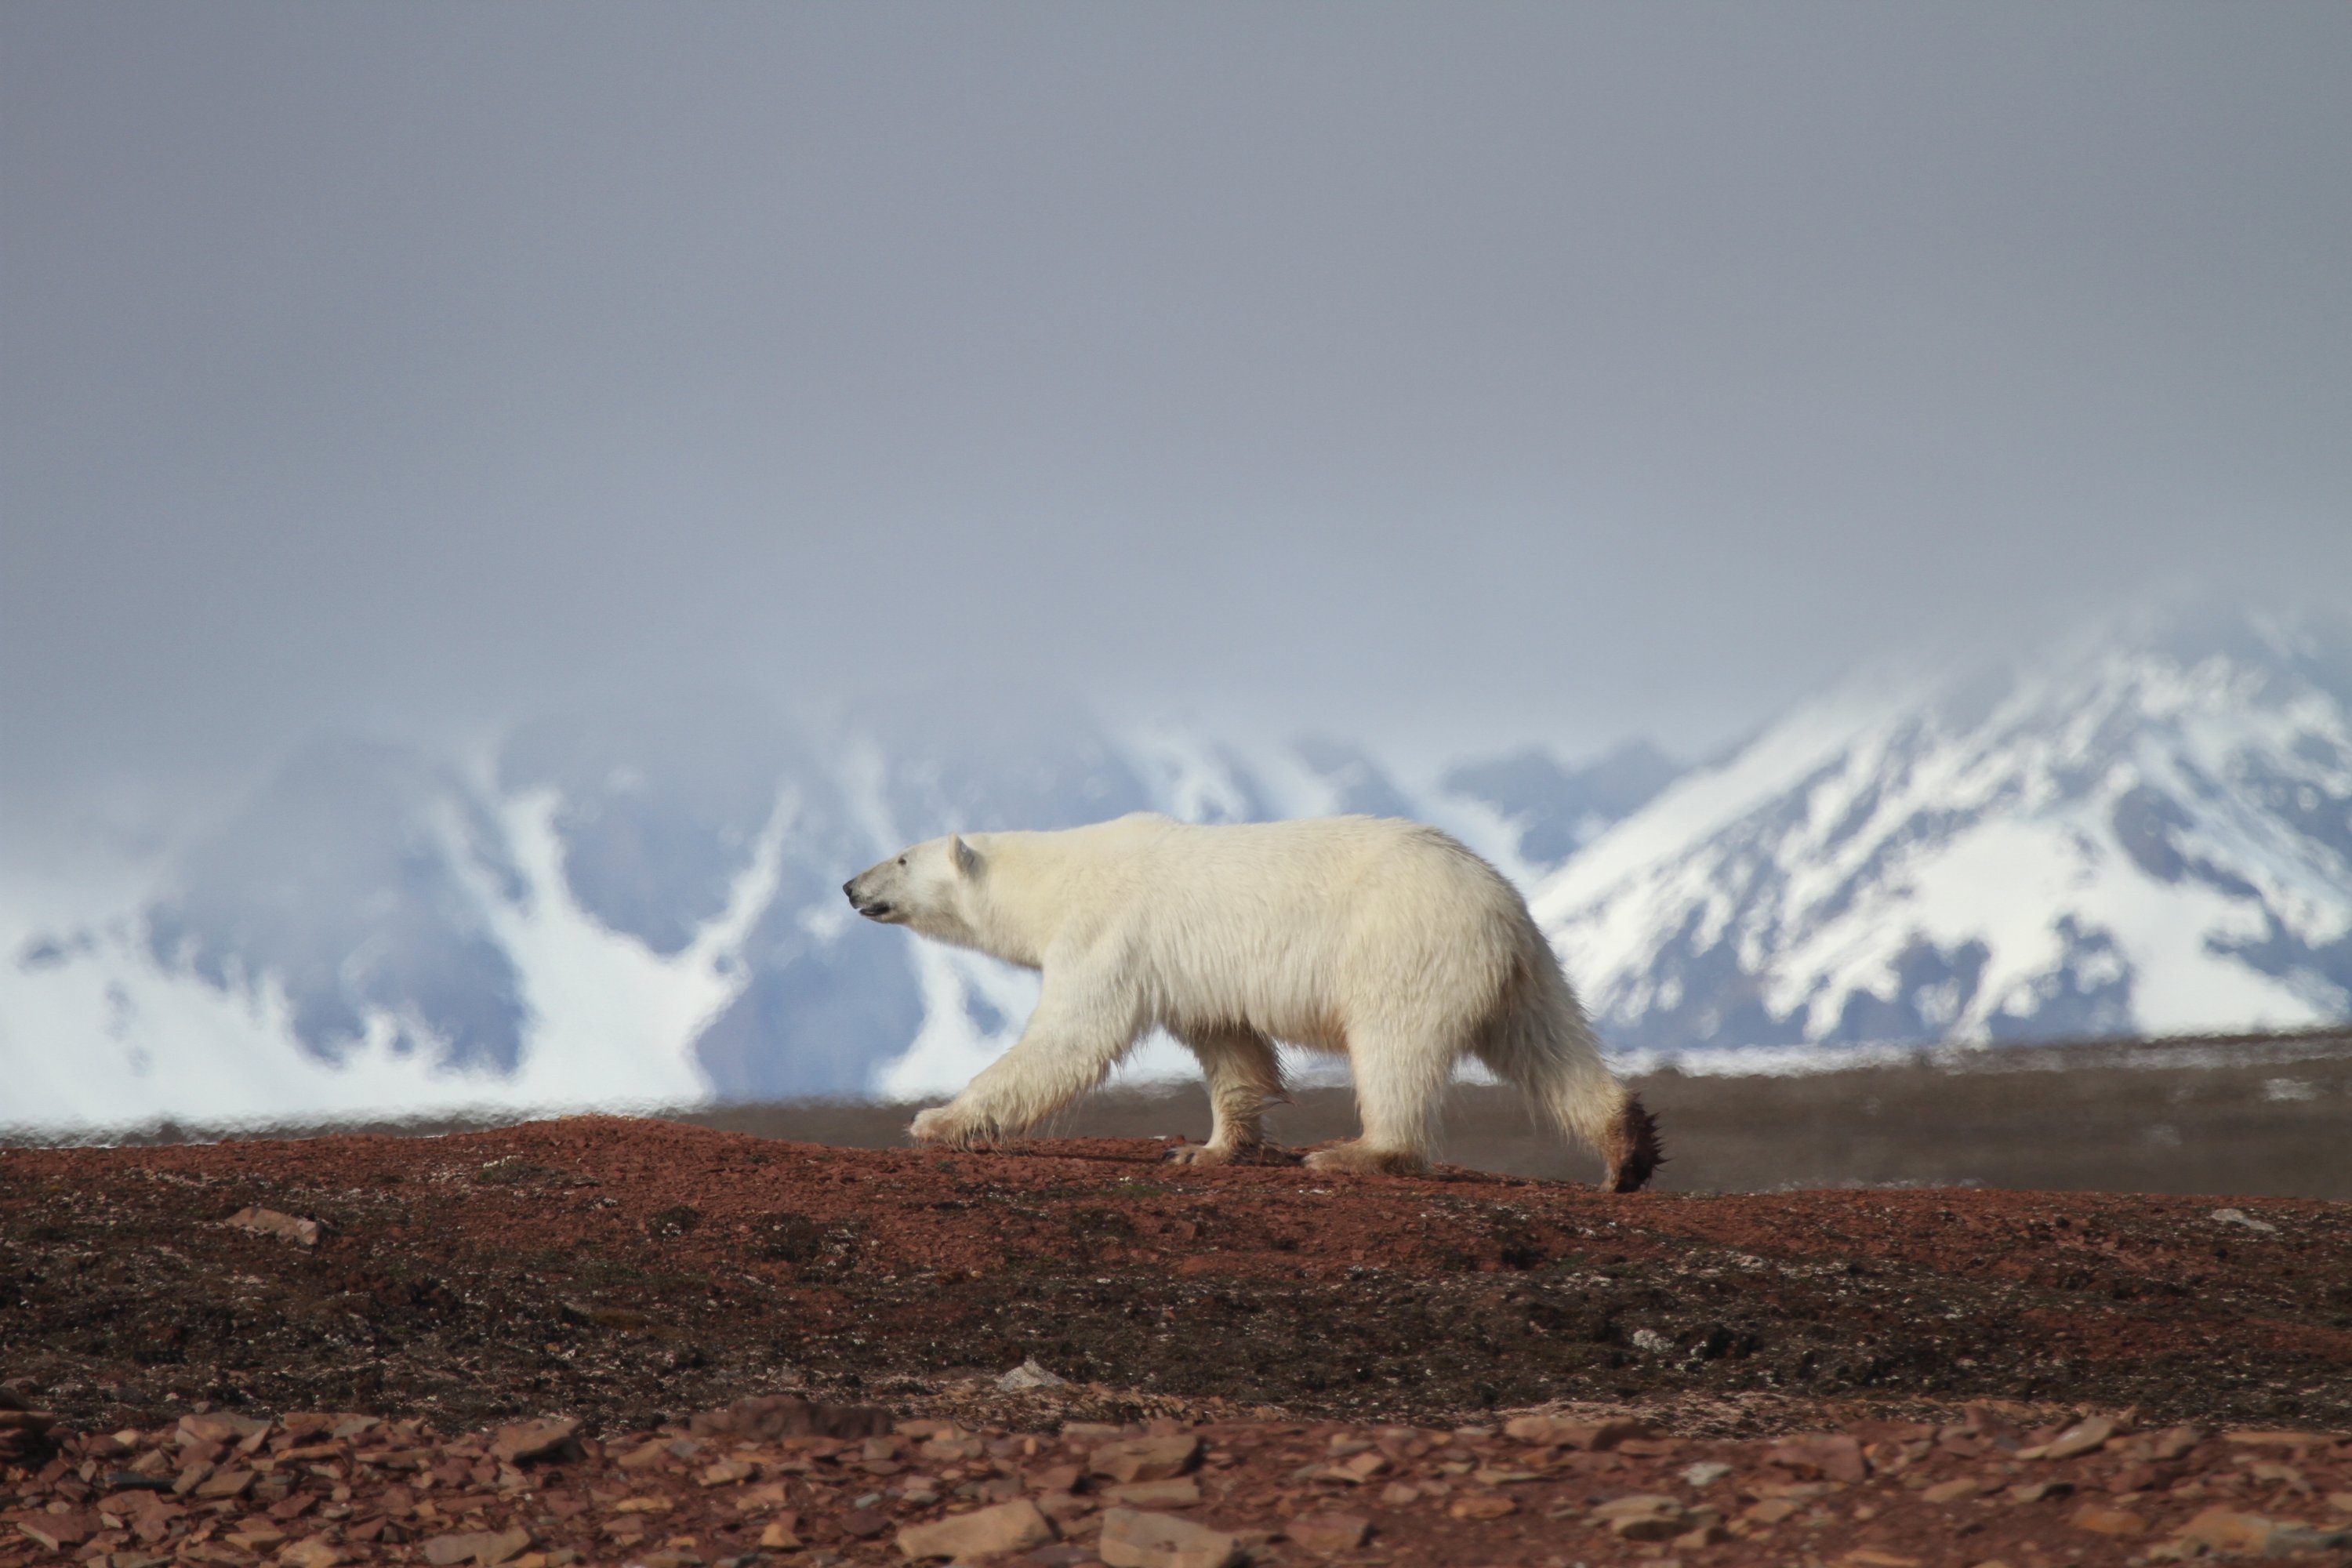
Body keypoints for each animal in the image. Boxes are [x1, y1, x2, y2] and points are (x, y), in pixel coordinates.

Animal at [837, 808, 1665, 1189]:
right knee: (1549, 1047)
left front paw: (938, 1120)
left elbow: (1069, 1037)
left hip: (1403, 946)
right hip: (1524, 969)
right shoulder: (1195, 974)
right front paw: (1204, 1147)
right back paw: (1627, 1148)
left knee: (1394, 1047)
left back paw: (1356, 1151)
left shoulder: (1107, 934)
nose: (848, 885)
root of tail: (1499, 903)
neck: (1057, 876)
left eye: (901, 857)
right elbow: (1230, 1048)